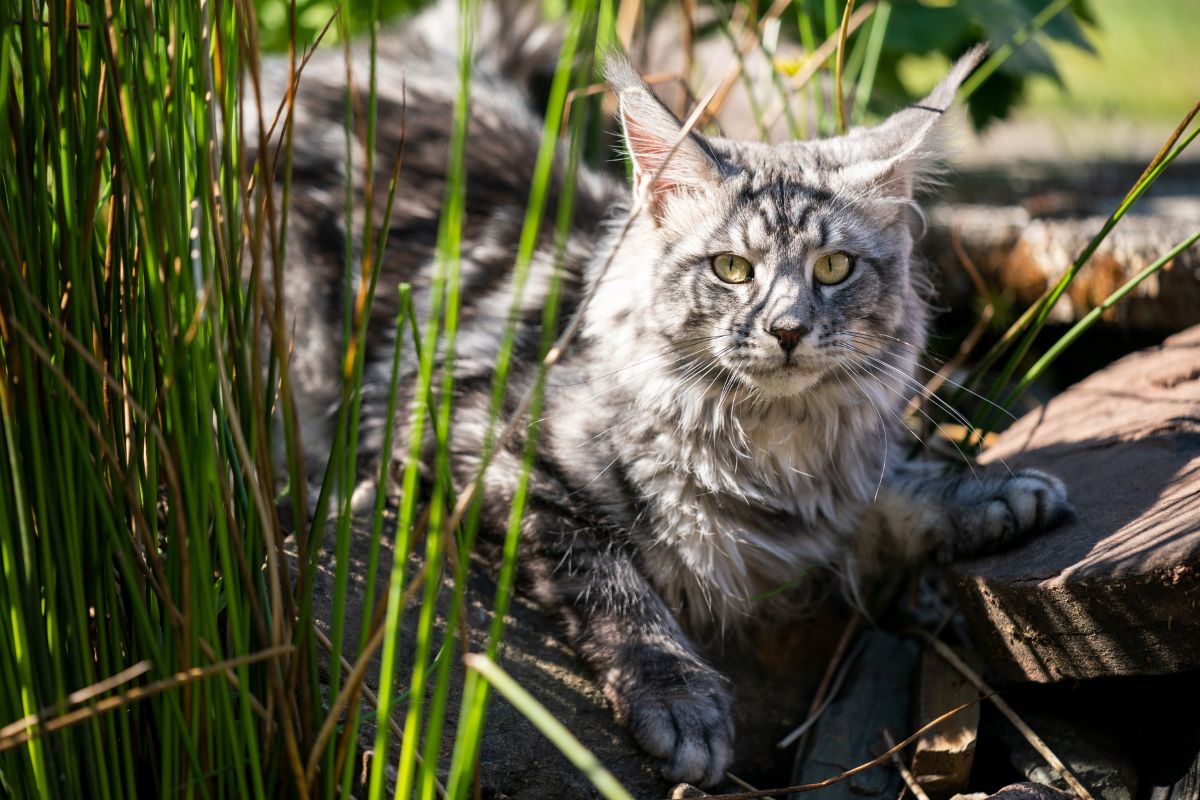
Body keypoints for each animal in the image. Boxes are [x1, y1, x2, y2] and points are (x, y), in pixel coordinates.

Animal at [267, 6, 1075, 791]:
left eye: (834, 268)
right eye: (732, 269)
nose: (787, 330)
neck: (768, 446)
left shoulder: (829, 492)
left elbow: (889, 495)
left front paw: (989, 496)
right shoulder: (472, 442)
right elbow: (610, 580)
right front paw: (680, 701)